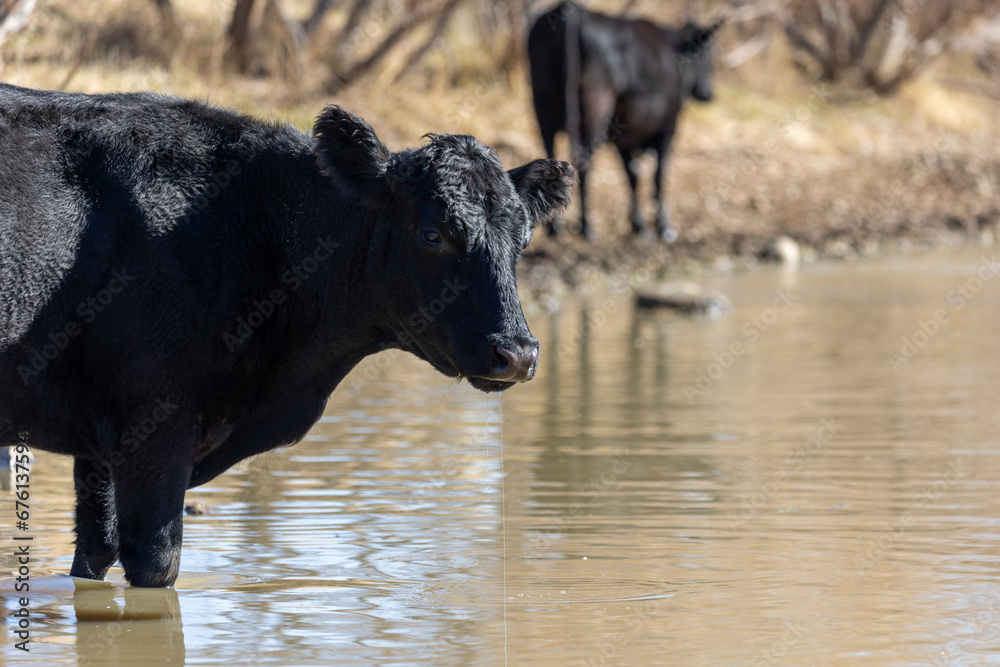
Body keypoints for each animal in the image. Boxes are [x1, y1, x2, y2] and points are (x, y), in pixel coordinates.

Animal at [0, 83, 574, 588]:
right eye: (432, 234)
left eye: (523, 241)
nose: (517, 353)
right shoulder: (154, 420)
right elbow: (155, 562)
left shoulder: (99, 445)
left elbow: (94, 554)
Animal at [528, 1, 720, 241]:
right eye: (706, 57)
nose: (708, 93)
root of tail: (571, 11)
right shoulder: (668, 126)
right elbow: (658, 175)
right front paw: (663, 226)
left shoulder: (625, 136)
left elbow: (633, 177)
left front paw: (639, 225)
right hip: (595, 111)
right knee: (583, 162)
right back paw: (587, 226)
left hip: (543, 106)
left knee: (551, 157)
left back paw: (555, 226)